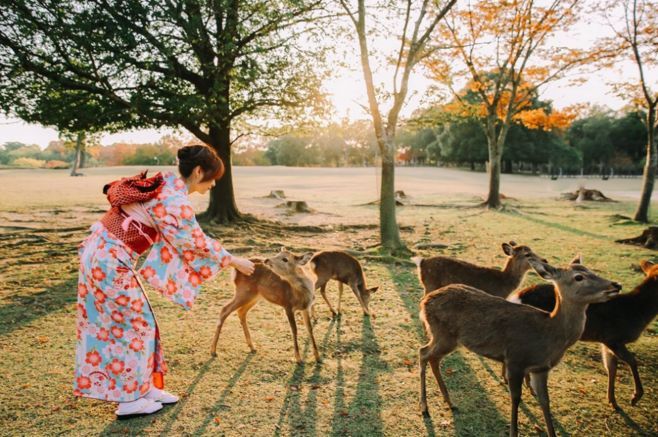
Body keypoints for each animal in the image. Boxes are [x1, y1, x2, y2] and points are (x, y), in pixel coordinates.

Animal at [420, 255, 620, 436]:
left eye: (590, 270)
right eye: (579, 277)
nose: (616, 285)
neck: (549, 336)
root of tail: (424, 302)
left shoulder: (541, 368)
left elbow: (545, 400)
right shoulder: (515, 360)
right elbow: (515, 398)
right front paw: (513, 431)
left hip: (446, 338)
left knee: (432, 357)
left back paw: (450, 402)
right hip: (444, 334)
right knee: (423, 352)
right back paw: (425, 408)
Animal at [508, 258, 656, 408]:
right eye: (579, 277)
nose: (617, 284)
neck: (635, 313)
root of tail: (516, 296)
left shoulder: (606, 342)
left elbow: (611, 367)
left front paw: (613, 401)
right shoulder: (612, 337)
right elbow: (631, 360)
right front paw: (635, 397)